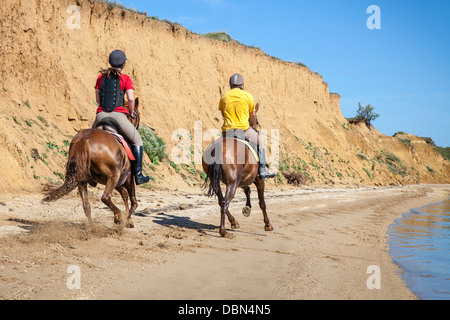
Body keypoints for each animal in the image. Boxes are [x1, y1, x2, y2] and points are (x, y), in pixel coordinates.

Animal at [42, 97, 142, 228]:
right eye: (137, 115)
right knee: (106, 198)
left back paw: (93, 229)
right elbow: (133, 201)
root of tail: (84, 139)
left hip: (82, 179)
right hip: (113, 176)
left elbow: (125, 196)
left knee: (86, 205)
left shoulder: (119, 182)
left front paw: (125, 219)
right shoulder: (127, 179)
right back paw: (119, 216)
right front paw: (126, 220)